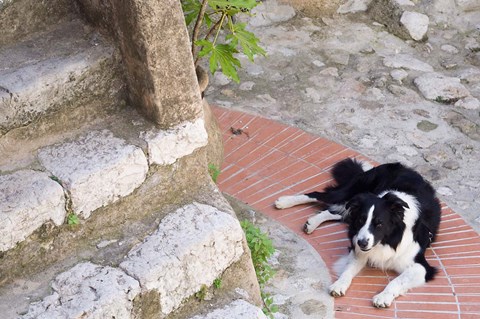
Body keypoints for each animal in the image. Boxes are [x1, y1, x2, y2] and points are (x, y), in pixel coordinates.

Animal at [276, 159, 440, 308]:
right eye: (362, 220)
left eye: (379, 223)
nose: (362, 242)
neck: (388, 240)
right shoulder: (358, 247)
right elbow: (348, 270)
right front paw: (339, 284)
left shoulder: (421, 267)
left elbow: (397, 281)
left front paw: (383, 297)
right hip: (351, 193)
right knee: (319, 195)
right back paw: (284, 201)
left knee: (338, 213)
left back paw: (312, 222)